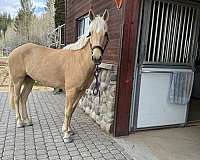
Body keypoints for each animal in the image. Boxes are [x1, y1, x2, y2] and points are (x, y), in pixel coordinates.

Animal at [8, 9, 109, 142]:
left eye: (106, 33)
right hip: (18, 81)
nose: (96, 57)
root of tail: (13, 52)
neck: (79, 60)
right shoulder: (71, 90)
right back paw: (20, 122)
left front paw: (69, 130)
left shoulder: (80, 91)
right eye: (90, 33)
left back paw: (27, 121)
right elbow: (67, 110)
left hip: (29, 80)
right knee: (16, 98)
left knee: (23, 98)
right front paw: (66, 135)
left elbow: (72, 109)